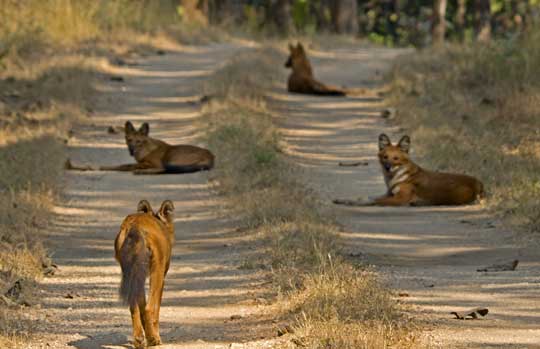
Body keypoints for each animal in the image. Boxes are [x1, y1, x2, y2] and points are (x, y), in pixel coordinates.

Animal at [116, 200, 175, 346]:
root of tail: (135, 226)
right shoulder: (161, 274)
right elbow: (155, 309)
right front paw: (154, 336)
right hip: (156, 270)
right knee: (149, 308)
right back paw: (153, 339)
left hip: (130, 271)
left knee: (134, 305)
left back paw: (139, 339)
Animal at [336, 133, 484, 204]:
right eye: (385, 157)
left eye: (396, 158)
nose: (388, 167)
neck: (394, 178)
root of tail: (478, 182)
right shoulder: (389, 194)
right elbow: (364, 197)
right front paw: (343, 200)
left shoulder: (400, 198)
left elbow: (373, 201)